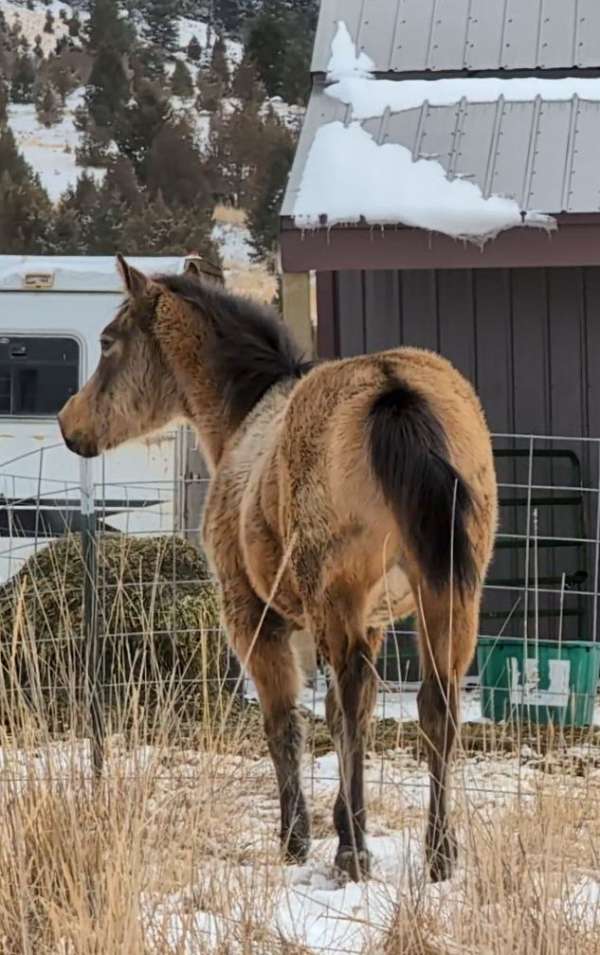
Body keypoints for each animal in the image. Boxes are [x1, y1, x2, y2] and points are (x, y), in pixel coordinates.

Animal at [59, 258, 496, 884]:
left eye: (107, 341)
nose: (70, 425)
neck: (247, 422)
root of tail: (393, 389)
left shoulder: (254, 616)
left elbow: (287, 721)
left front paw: (299, 838)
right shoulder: (374, 621)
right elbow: (346, 710)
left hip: (341, 597)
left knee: (357, 706)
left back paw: (354, 854)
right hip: (450, 596)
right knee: (437, 705)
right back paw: (438, 855)